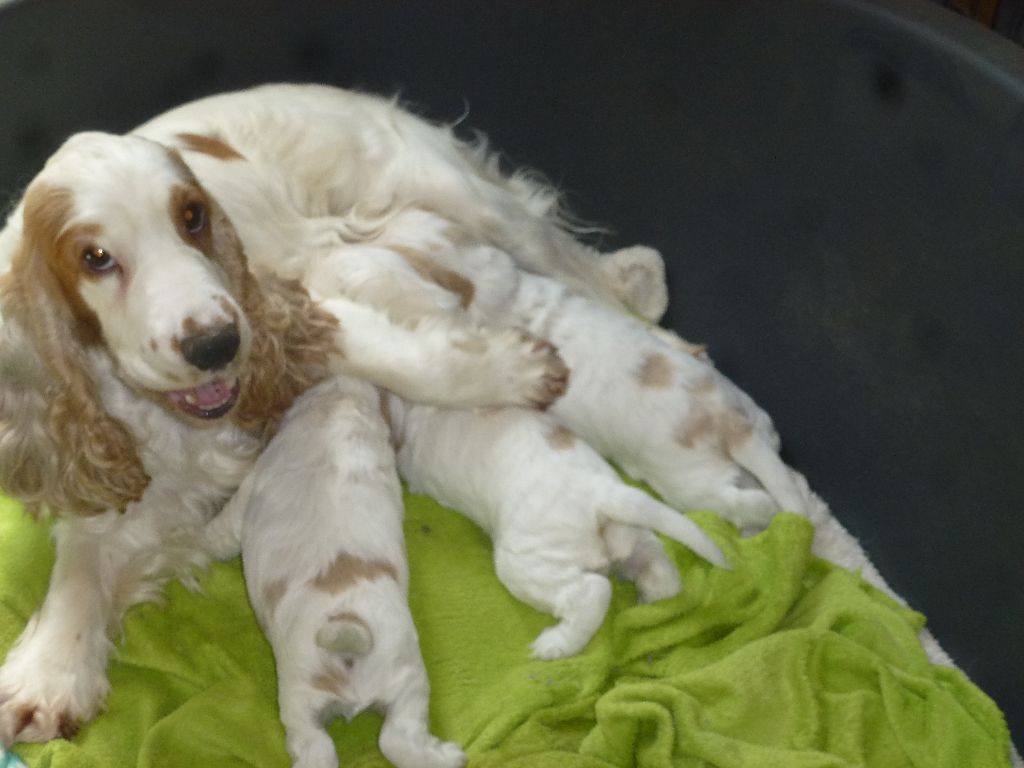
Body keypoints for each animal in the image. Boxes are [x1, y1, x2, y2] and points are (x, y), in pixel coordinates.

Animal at [202, 376, 464, 768]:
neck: (339, 405)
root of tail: (349, 625)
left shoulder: (248, 492)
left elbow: (218, 533)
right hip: (404, 679)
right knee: (394, 738)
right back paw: (445, 757)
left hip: (302, 699)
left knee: (320, 747)